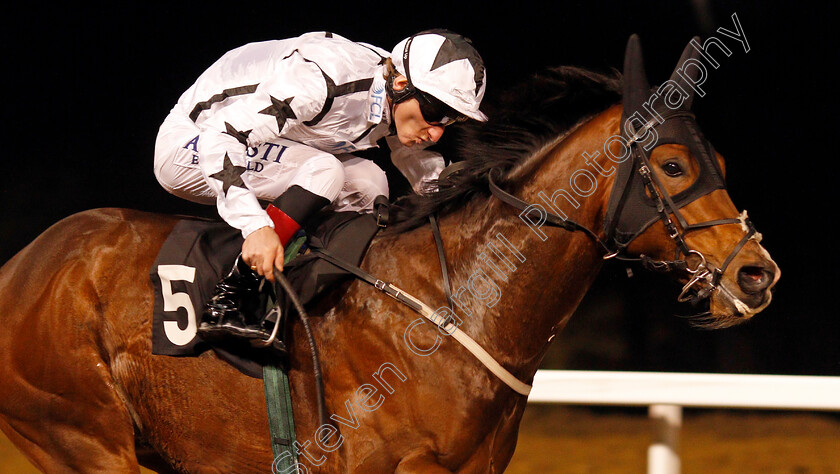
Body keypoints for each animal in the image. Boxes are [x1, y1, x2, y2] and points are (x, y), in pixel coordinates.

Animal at [0, 35, 780, 472]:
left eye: (720, 162)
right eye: (673, 167)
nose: (756, 272)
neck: (452, 300)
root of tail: (21, 268)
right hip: (81, 434)